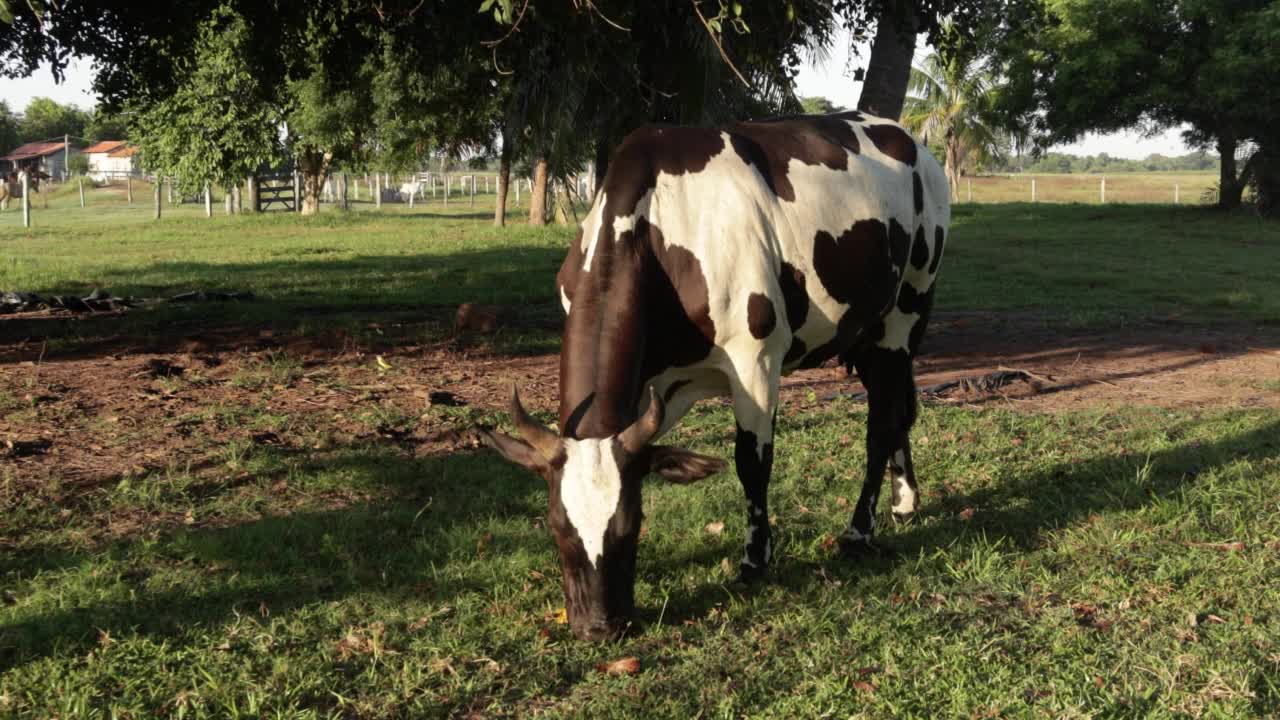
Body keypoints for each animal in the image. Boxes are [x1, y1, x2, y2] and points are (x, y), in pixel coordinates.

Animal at [481, 110, 952, 638]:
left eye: (631, 523)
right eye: (556, 525)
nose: (598, 626)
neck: (656, 229)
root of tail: (902, 133)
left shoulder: (755, 360)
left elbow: (752, 462)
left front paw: (755, 560)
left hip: (906, 312)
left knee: (882, 423)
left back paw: (858, 530)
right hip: (868, 332)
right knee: (899, 410)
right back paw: (905, 500)